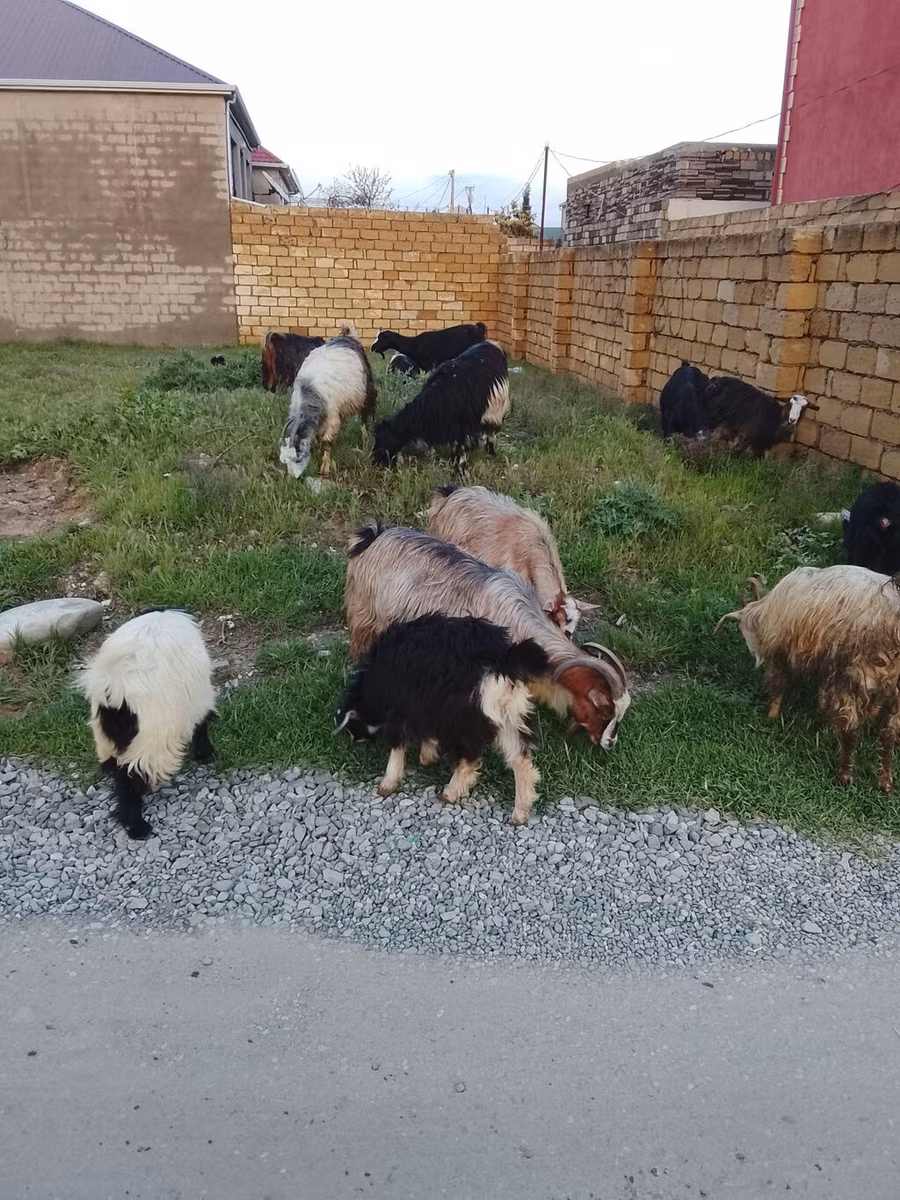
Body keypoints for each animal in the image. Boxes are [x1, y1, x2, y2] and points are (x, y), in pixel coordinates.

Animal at [73, 608, 216, 839]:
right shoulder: (199, 701)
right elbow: (201, 726)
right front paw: (206, 754)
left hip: (104, 734)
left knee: (114, 765)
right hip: (148, 742)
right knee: (129, 778)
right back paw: (137, 827)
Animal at [280, 327, 377, 477]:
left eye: (298, 458)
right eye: (284, 461)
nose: (293, 477)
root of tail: (347, 336)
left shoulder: (332, 415)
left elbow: (326, 441)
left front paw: (325, 468)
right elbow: (319, 438)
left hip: (366, 389)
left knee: (366, 414)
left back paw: (366, 438)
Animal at [336, 614, 549, 825]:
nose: (354, 740)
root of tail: (503, 661)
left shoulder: (402, 707)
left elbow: (397, 746)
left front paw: (388, 783)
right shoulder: (425, 706)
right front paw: (427, 757)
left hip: (462, 717)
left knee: (471, 758)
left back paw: (450, 793)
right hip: (510, 715)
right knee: (520, 759)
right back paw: (520, 812)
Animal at [372, 341, 510, 471]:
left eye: (384, 446)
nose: (375, 463)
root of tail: (490, 344)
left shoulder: (466, 426)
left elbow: (462, 449)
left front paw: (460, 469)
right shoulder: (453, 426)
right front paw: (454, 462)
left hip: (496, 410)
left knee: (491, 433)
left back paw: (491, 452)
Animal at [714, 567, 900, 792]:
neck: (763, 613)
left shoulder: (781, 653)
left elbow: (777, 688)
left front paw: (771, 718)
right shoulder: (823, 662)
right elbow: (822, 695)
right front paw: (820, 720)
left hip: (852, 675)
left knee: (851, 730)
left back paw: (844, 776)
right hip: (894, 686)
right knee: (889, 734)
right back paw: (885, 783)